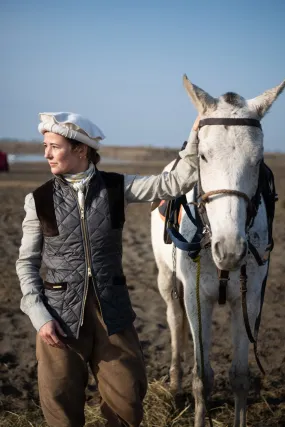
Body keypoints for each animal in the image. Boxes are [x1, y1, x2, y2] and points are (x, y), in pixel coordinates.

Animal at [150, 77, 282, 427]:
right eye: (204, 157)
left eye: (258, 160)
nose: (231, 249)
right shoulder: (198, 299)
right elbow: (203, 378)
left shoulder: (248, 300)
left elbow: (240, 377)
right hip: (168, 281)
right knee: (175, 323)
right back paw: (174, 387)